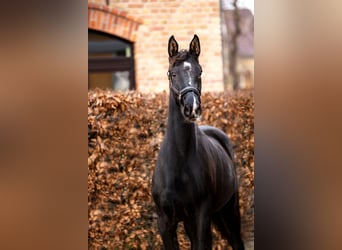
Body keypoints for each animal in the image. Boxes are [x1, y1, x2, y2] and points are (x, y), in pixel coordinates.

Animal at [152, 35, 243, 250]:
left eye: (199, 71)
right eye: (172, 73)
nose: (191, 108)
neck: (178, 162)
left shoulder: (201, 217)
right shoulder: (165, 223)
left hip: (228, 212)